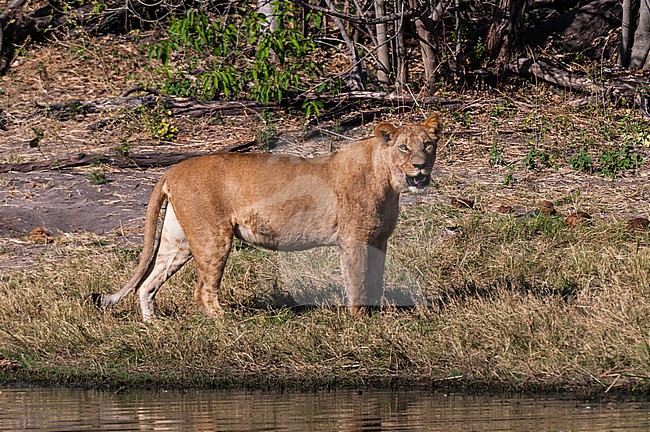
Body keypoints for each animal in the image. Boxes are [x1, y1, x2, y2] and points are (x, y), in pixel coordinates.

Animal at [90, 115, 442, 320]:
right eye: (403, 147)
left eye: (428, 144)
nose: (421, 166)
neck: (388, 180)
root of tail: (173, 170)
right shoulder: (353, 240)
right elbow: (356, 280)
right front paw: (358, 321)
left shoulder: (379, 240)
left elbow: (376, 279)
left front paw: (376, 315)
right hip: (213, 238)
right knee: (202, 291)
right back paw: (227, 324)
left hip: (179, 241)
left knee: (147, 283)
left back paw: (154, 327)